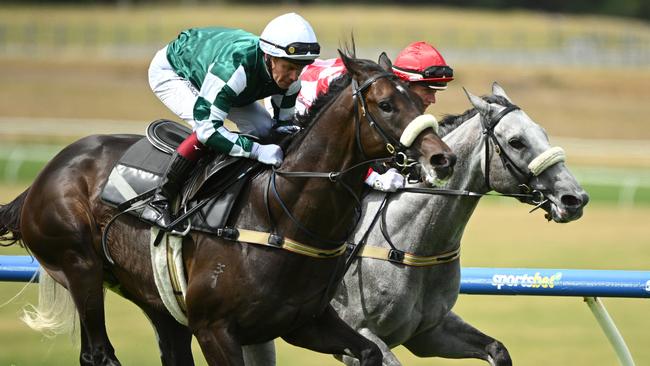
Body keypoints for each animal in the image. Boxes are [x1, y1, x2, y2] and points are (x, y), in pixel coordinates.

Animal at [0, 52, 454, 366]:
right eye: (386, 105)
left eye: (419, 103)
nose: (441, 159)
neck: (278, 215)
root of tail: (46, 174)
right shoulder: (215, 330)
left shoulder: (305, 322)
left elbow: (370, 352)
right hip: (80, 268)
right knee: (98, 352)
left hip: (157, 302)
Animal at [243, 81, 588, 364]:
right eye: (516, 141)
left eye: (543, 133)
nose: (575, 198)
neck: (411, 241)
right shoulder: (358, 331)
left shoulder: (430, 332)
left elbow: (497, 349)